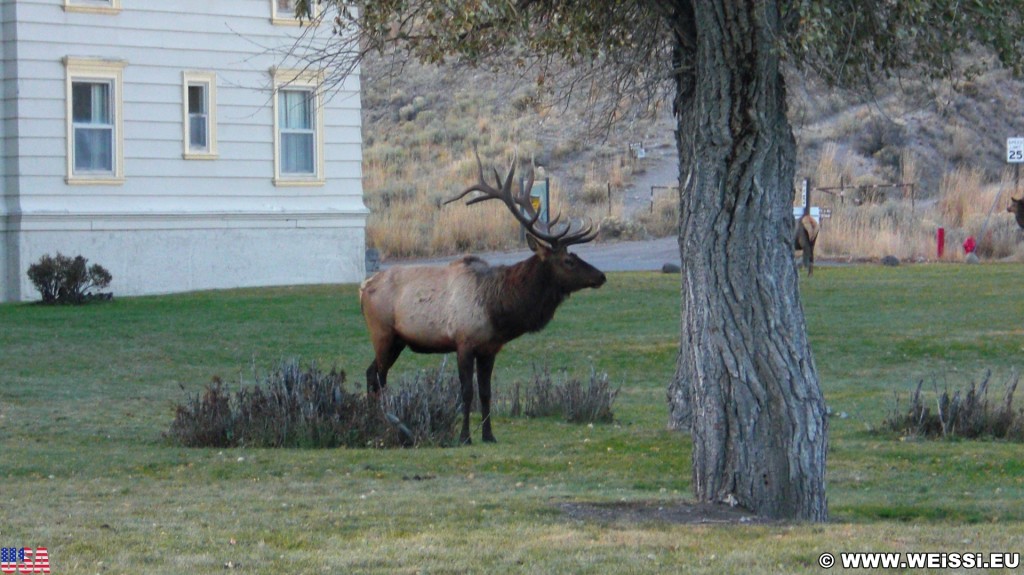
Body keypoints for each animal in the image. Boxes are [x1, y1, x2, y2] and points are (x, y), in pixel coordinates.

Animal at [358, 150, 602, 439]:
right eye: (568, 261)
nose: (601, 276)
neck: (498, 310)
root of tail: (362, 288)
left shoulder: (490, 348)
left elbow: (486, 392)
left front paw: (489, 435)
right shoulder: (463, 342)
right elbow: (466, 392)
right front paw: (465, 436)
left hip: (397, 340)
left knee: (373, 374)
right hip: (382, 333)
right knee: (376, 376)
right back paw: (380, 424)